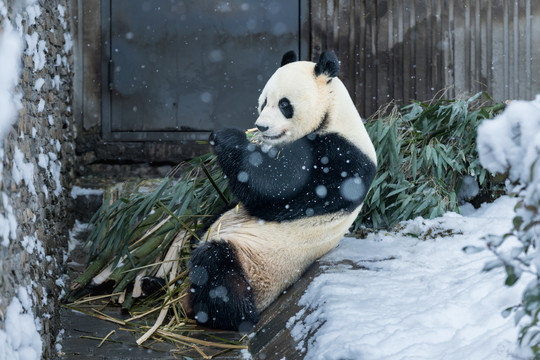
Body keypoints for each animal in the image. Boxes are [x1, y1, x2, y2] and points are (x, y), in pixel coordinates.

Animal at [186, 50, 376, 332]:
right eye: (264, 102)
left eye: (285, 105)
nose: (261, 127)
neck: (333, 115)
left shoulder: (341, 163)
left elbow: (274, 188)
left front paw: (227, 137)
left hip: (258, 266)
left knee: (217, 265)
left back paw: (230, 316)